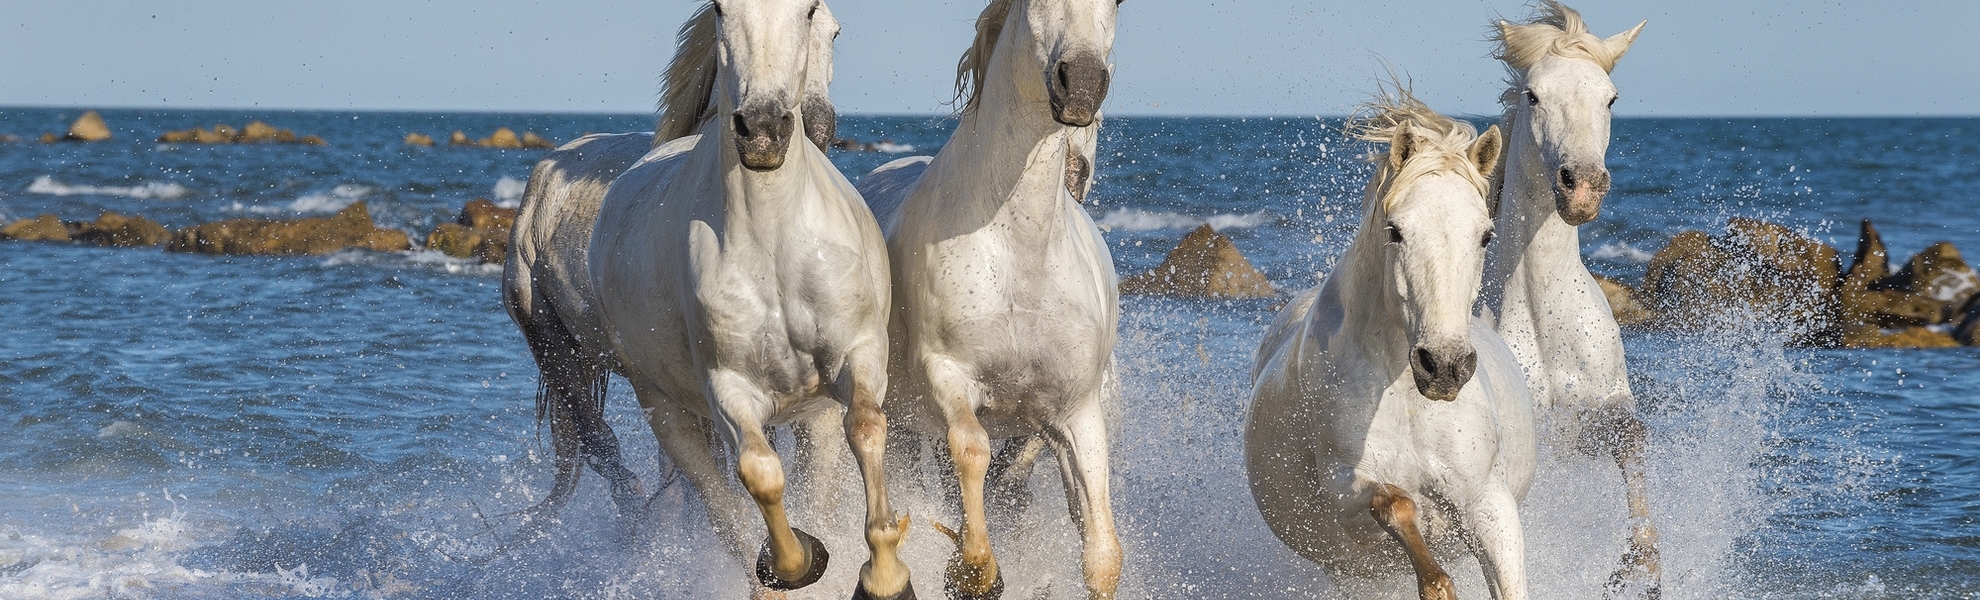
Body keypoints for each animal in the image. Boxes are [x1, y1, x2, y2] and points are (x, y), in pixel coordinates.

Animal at [511, 1, 914, 597]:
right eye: (724, 11)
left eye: (826, 21)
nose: (770, 130)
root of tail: (540, 181)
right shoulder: (729, 390)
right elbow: (757, 479)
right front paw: (801, 560)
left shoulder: (845, 372)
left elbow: (855, 441)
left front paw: (879, 569)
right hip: (589, 371)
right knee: (648, 472)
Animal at [853, 0, 1121, 598]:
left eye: (1119, 5)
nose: (1082, 84)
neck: (1019, 249)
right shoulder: (947, 372)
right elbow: (970, 448)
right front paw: (973, 567)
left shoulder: (1078, 411)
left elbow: (1101, 552)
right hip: (902, 423)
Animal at [1246, 90, 1535, 600]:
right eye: (1396, 231)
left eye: (1486, 235)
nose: (1444, 366)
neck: (1403, 393)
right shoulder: (1346, 494)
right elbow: (1396, 505)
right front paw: (1437, 583)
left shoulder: (1488, 502)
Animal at [1476, 3, 1655, 596]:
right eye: (1533, 95)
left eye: (1611, 98)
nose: (1583, 186)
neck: (1541, 313)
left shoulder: (1594, 416)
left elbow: (1632, 437)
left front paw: (1640, 564)